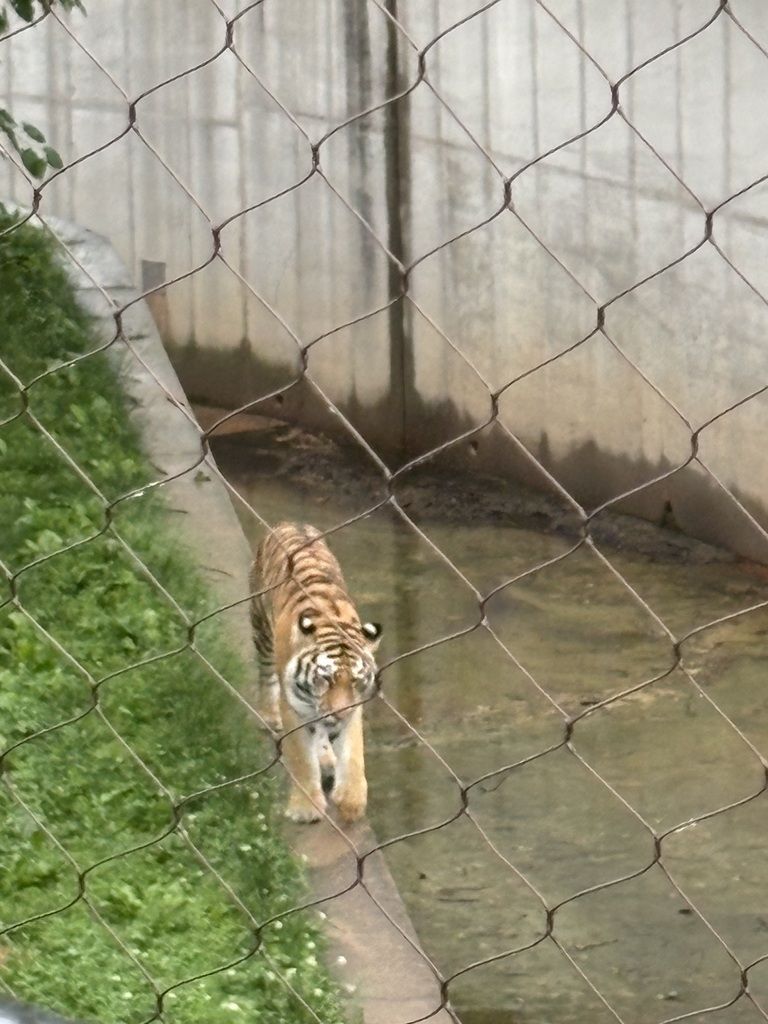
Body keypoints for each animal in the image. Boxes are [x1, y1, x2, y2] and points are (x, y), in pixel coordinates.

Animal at [249, 522, 382, 824]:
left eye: (356, 681)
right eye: (325, 679)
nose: (339, 714)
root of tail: (289, 523)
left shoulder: (354, 708)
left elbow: (353, 752)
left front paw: (351, 801)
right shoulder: (294, 707)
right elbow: (301, 759)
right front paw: (305, 809)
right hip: (262, 628)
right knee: (266, 674)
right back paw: (269, 715)